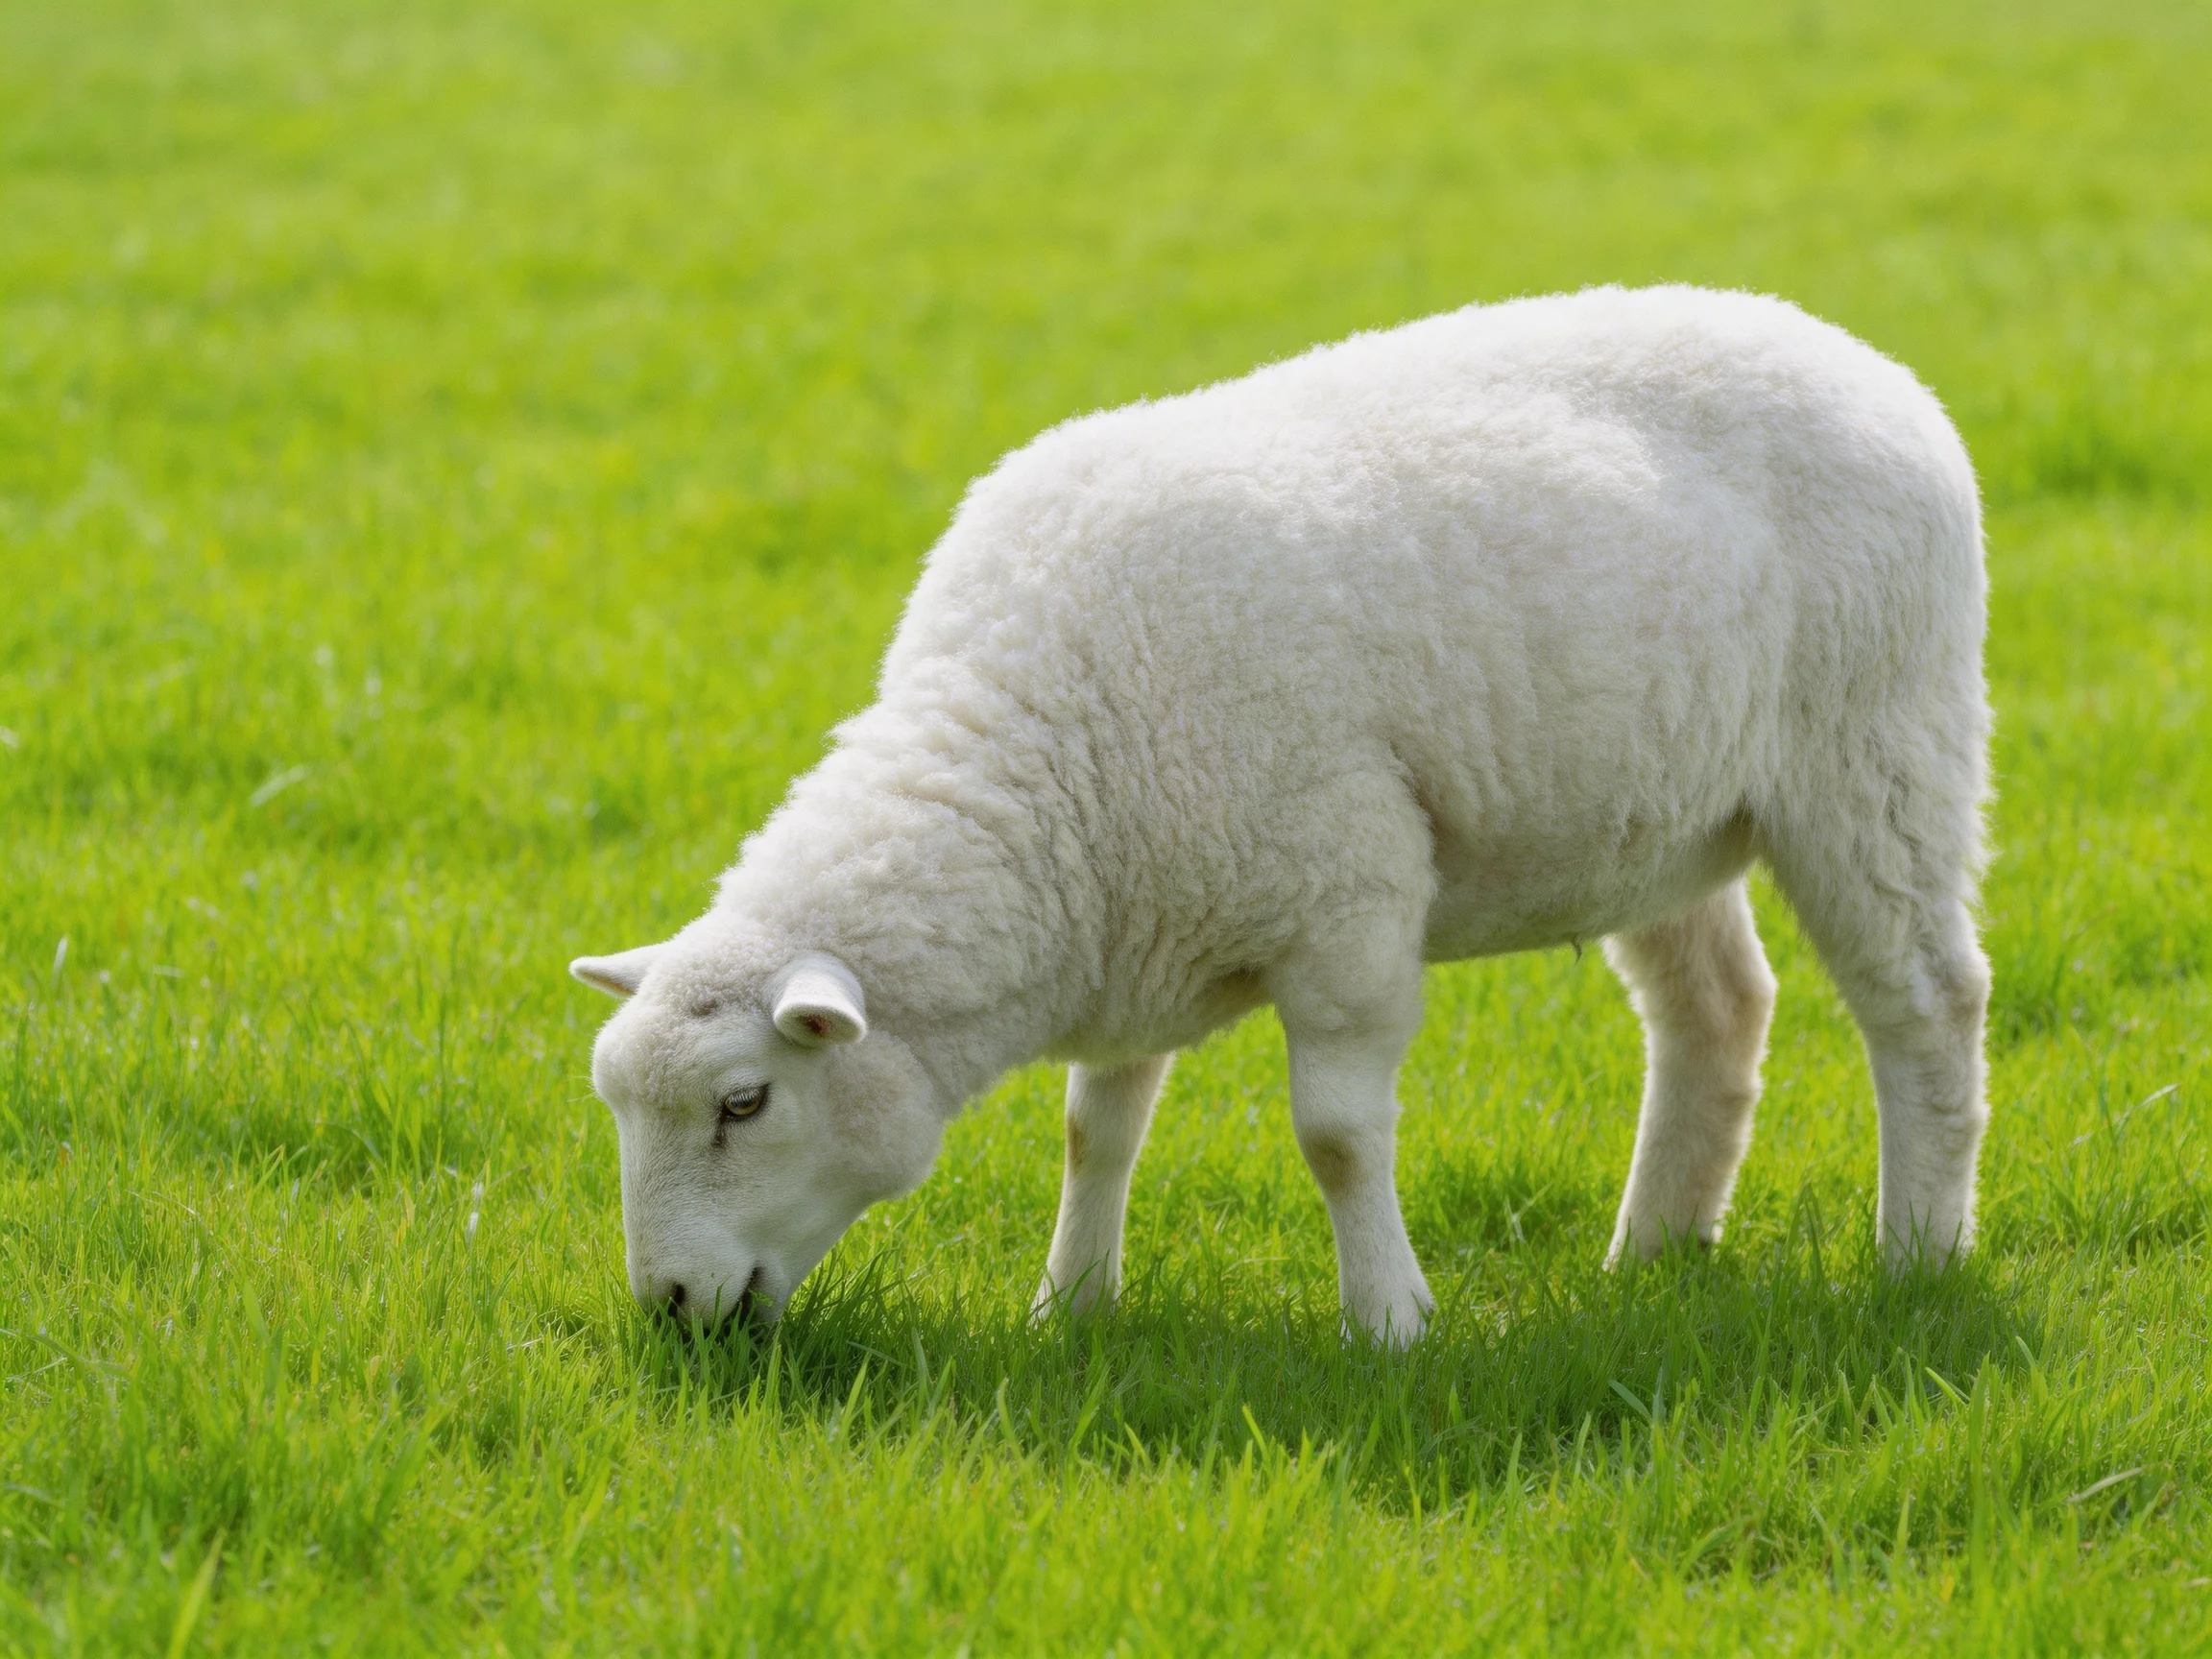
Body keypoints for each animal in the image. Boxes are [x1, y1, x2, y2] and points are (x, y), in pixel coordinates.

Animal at [572, 283, 1992, 1345]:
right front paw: (1070, 1305)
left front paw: (1391, 1323)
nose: (672, 1306)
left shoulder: (1345, 902)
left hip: (1879, 745)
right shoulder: (1132, 913)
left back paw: (1917, 1253)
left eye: (743, 1102)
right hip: (1663, 814)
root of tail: (1860, 359)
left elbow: (1340, 1140)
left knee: (1926, 1002)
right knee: (1716, 1014)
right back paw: (1650, 1254)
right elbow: (1096, 1129)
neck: (1048, 748)